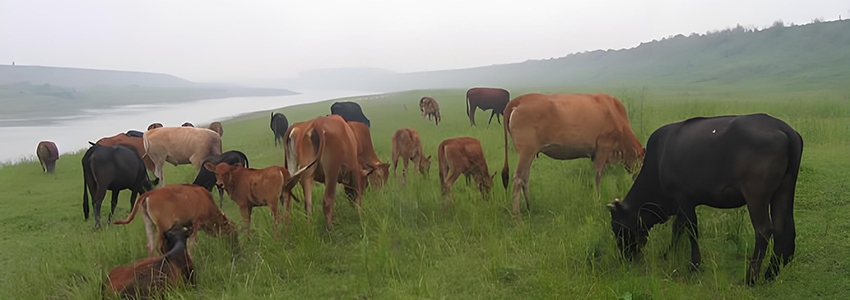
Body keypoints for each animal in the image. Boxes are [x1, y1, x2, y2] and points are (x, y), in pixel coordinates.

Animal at [496, 93, 644, 216]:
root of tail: (521, 99)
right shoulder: (603, 147)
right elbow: (597, 176)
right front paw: (597, 200)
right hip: (526, 150)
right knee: (518, 178)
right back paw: (517, 216)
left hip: (530, 153)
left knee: (525, 178)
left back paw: (528, 207)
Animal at [604, 113, 800, 286]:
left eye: (618, 228)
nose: (624, 258)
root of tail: (784, 128)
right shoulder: (680, 203)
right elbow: (678, 228)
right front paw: (668, 254)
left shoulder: (683, 197)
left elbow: (690, 229)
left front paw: (695, 264)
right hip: (784, 189)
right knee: (782, 228)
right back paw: (770, 274)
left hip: (756, 195)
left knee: (764, 230)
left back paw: (750, 279)